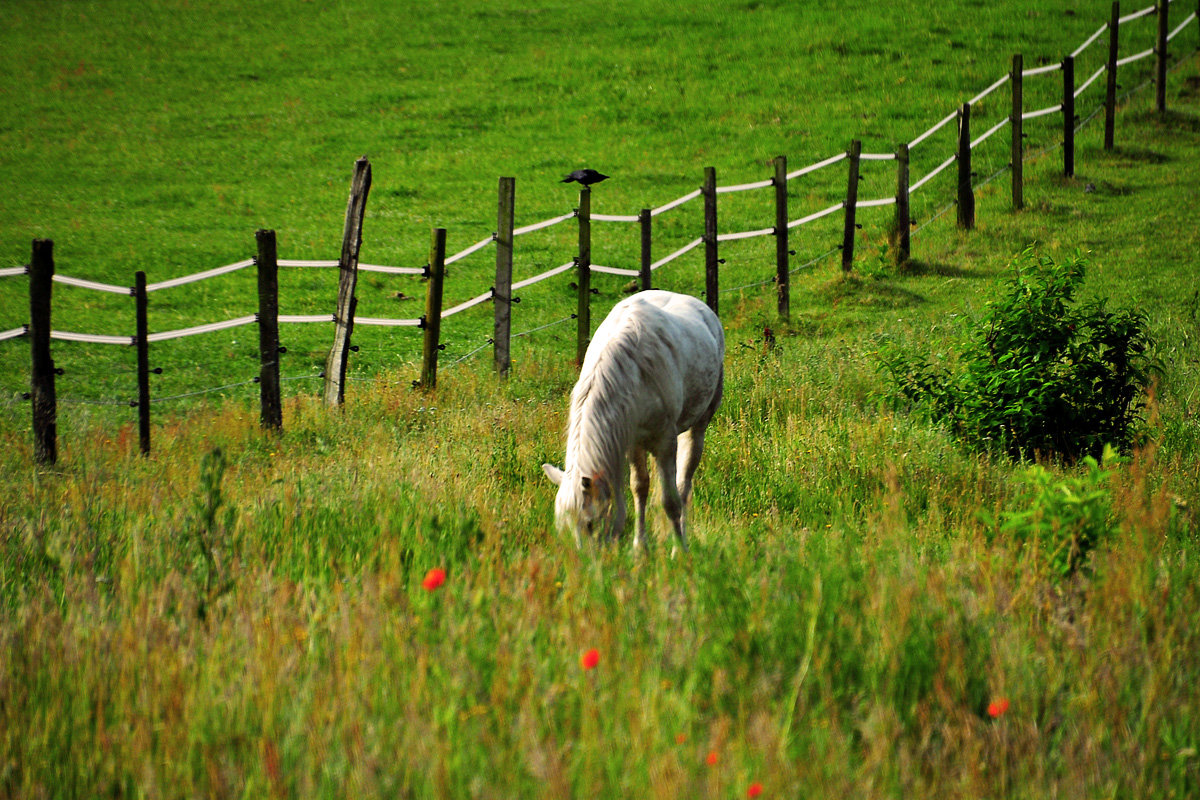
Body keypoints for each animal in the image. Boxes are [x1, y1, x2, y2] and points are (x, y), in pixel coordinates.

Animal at [542, 289, 720, 551]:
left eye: (590, 524)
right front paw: (639, 548)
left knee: (683, 486)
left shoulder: (665, 442)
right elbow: (639, 489)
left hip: (697, 427)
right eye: (563, 527)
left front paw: (679, 550)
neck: (631, 372)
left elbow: (670, 501)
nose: (584, 560)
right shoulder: (633, 442)